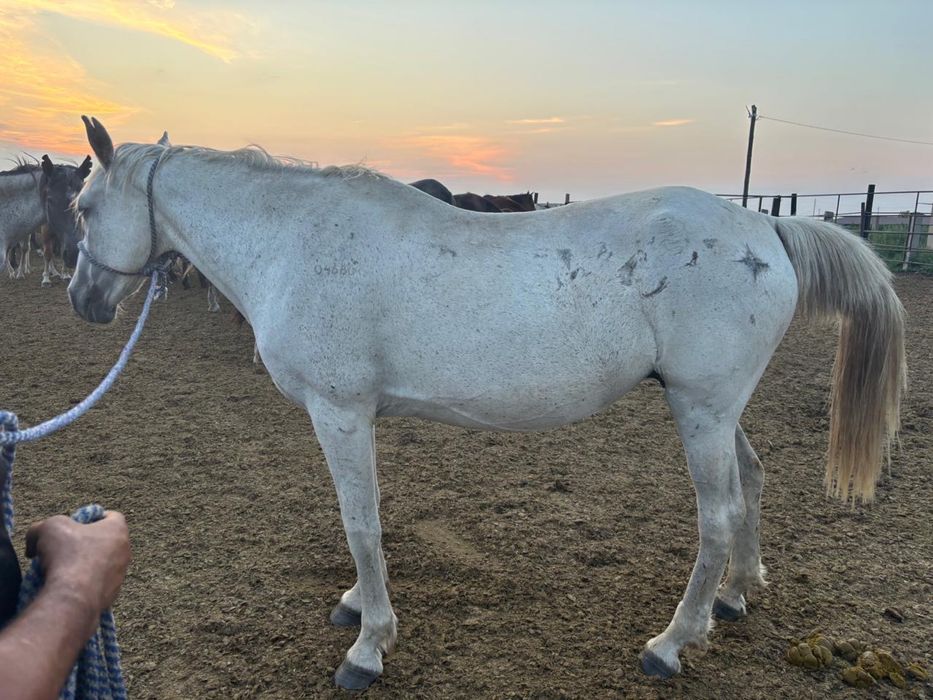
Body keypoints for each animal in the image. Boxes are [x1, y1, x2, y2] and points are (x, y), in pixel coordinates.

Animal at [69, 117, 906, 690]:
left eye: (81, 208)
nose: (83, 301)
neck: (294, 242)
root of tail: (761, 223)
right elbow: (362, 522)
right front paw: (357, 606)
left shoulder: (339, 412)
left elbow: (359, 523)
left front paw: (368, 644)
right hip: (714, 409)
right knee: (752, 483)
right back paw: (733, 597)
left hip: (700, 412)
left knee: (718, 515)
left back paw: (670, 642)